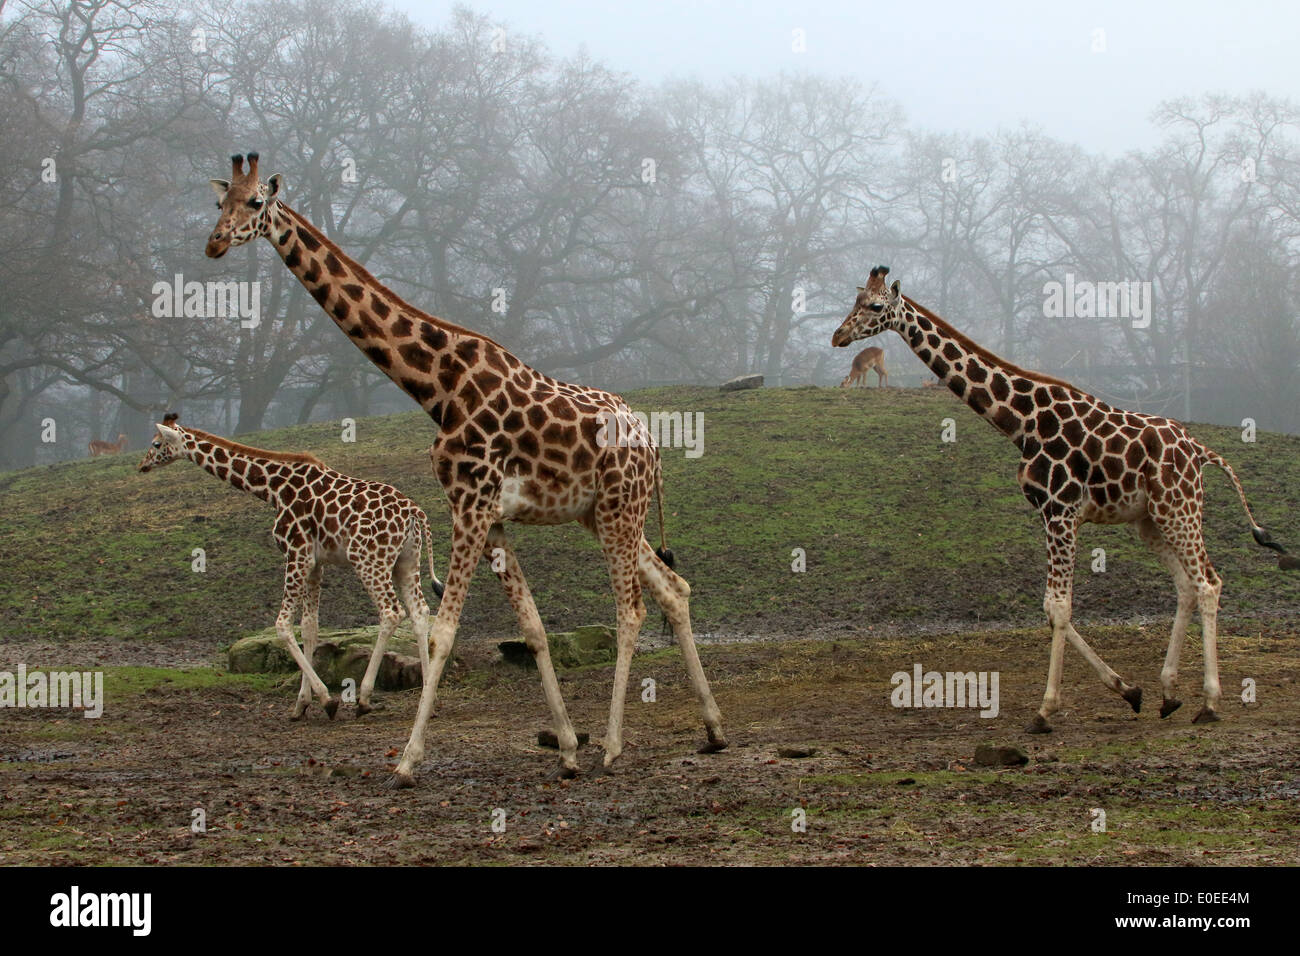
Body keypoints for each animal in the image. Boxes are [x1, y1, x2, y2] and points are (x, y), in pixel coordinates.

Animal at [138, 417, 445, 719]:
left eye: (156, 443)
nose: (142, 465)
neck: (273, 488)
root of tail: (414, 513)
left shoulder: (296, 554)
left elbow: (283, 625)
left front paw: (326, 700)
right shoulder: (315, 563)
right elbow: (309, 627)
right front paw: (301, 704)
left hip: (369, 559)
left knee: (391, 612)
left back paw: (365, 699)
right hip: (406, 561)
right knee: (419, 611)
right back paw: (426, 697)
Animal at [204, 152, 727, 784]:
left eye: (256, 203)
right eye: (219, 202)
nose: (214, 243)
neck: (437, 386)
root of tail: (652, 443)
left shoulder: (468, 504)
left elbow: (444, 633)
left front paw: (407, 762)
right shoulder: (492, 516)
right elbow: (532, 629)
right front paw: (566, 750)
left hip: (620, 509)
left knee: (631, 609)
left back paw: (614, 745)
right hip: (600, 513)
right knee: (674, 589)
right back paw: (713, 730)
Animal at [832, 266, 1293, 732]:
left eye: (875, 306)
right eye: (855, 302)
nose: (838, 335)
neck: (1023, 423)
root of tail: (1200, 451)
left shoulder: (1061, 511)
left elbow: (1058, 607)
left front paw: (1045, 710)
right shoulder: (1049, 514)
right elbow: (1054, 609)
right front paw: (1130, 690)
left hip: (1179, 509)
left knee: (1207, 582)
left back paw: (1210, 703)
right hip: (1150, 520)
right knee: (1184, 585)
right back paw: (1168, 694)